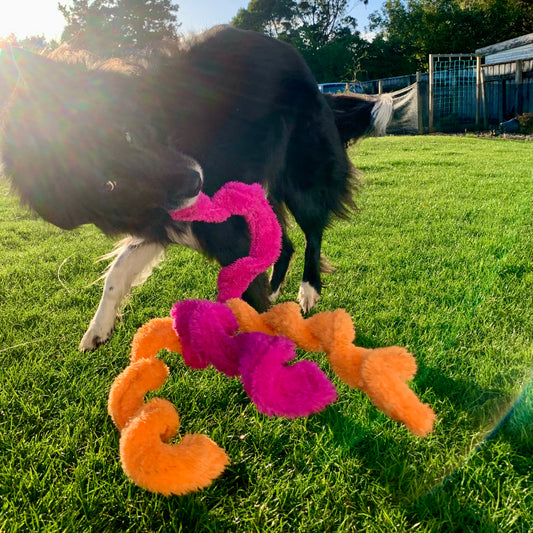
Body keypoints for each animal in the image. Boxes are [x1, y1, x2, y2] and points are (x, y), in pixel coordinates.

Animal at [1, 26, 390, 350]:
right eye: (107, 184)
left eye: (128, 135)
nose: (196, 181)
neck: (171, 127)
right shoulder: (165, 217)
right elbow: (118, 269)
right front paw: (98, 328)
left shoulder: (217, 225)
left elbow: (248, 298)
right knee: (286, 242)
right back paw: (278, 286)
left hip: (302, 173)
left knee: (312, 231)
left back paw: (308, 290)